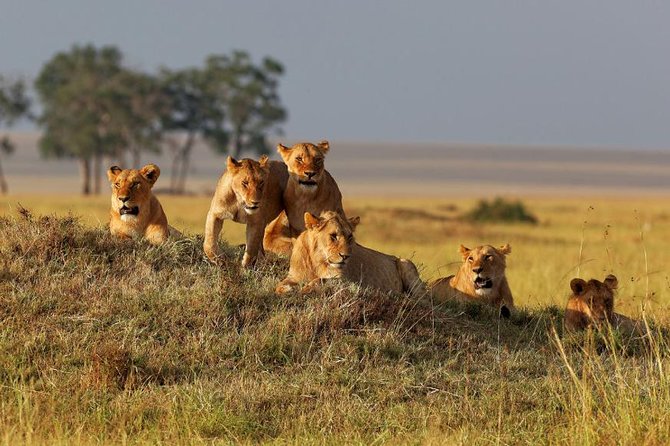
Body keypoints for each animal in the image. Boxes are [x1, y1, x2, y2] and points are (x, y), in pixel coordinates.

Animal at [276, 212, 426, 296]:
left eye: (349, 237)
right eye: (333, 236)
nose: (346, 256)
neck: (317, 261)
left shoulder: (346, 281)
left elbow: (320, 280)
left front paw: (305, 289)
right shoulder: (293, 276)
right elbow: (280, 285)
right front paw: (287, 290)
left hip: (406, 263)